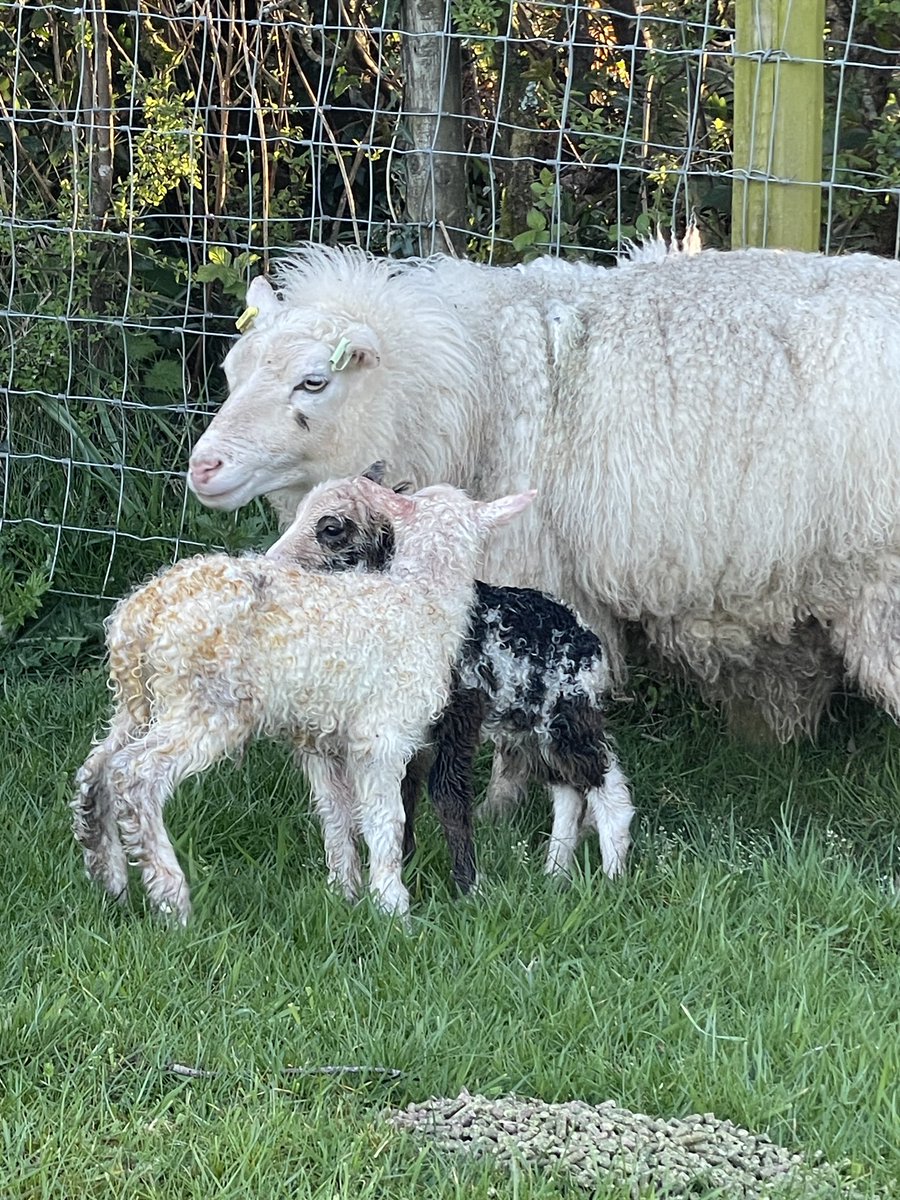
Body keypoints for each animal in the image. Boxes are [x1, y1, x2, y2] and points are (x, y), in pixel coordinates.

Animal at [74, 475, 535, 916]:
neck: (421, 600)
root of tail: (142, 613)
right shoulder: (381, 734)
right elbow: (386, 818)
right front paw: (392, 905)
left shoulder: (322, 738)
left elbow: (336, 814)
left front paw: (345, 892)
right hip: (206, 703)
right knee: (135, 776)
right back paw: (172, 901)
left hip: (138, 700)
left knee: (96, 769)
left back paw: (109, 880)